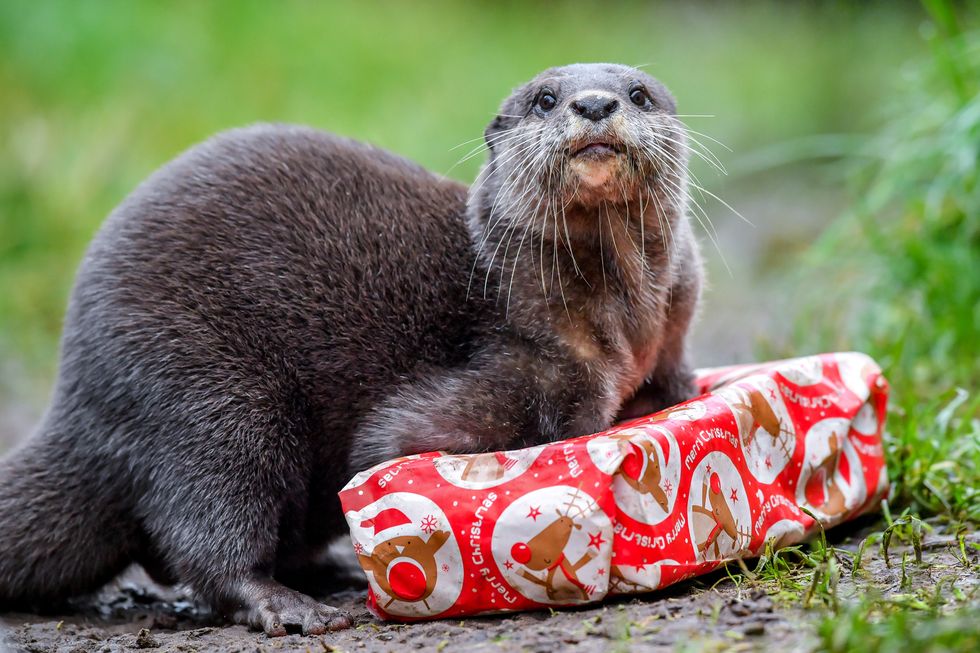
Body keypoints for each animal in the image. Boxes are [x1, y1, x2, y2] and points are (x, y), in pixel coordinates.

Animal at [0, 63, 702, 635]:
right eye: (545, 99)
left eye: (638, 93)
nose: (594, 104)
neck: (620, 325)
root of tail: (80, 399)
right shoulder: (518, 369)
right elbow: (389, 445)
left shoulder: (671, 342)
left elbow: (675, 387)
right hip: (205, 395)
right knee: (202, 532)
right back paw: (290, 606)